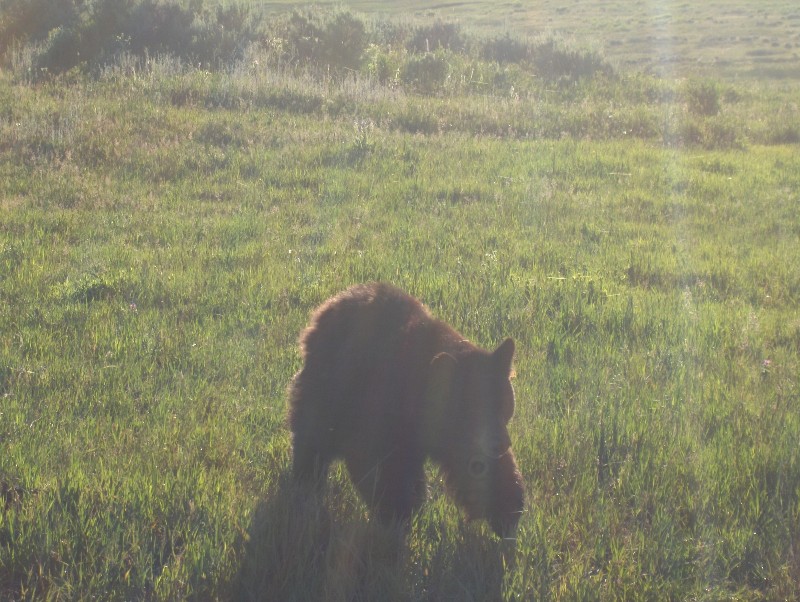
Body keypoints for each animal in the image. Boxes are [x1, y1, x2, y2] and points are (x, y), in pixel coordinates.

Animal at [288, 282, 524, 540]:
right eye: (473, 408)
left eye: (504, 404)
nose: (501, 444)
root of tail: (328, 305)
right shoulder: (380, 409)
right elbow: (380, 466)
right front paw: (396, 515)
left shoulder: (462, 440)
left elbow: (483, 469)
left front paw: (508, 513)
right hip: (329, 384)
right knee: (313, 433)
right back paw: (305, 480)